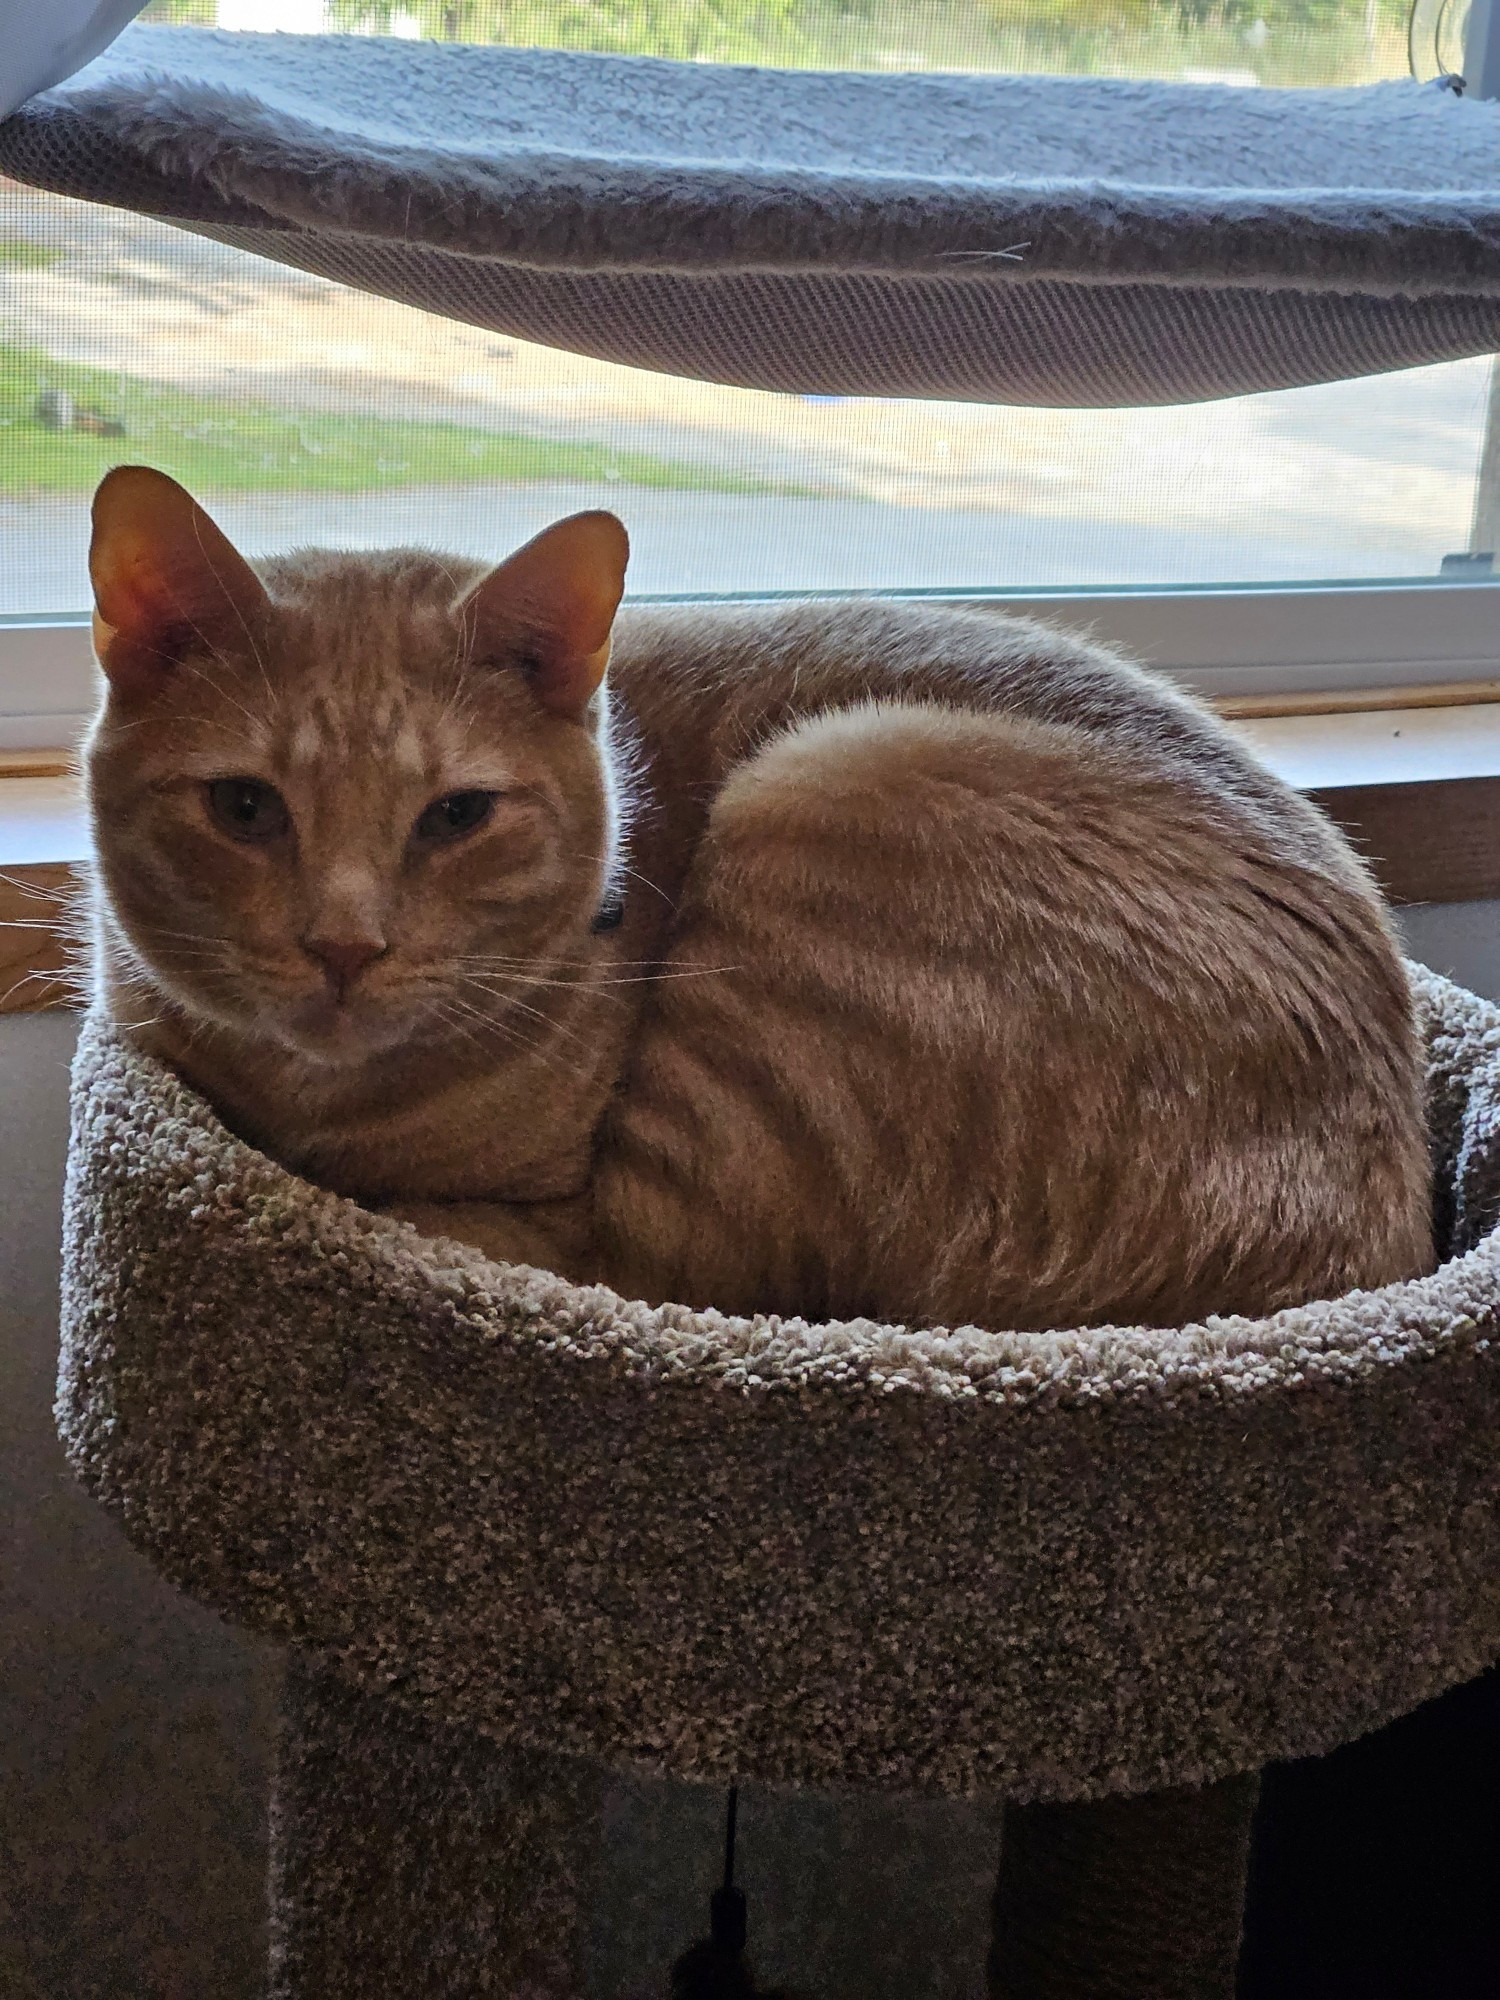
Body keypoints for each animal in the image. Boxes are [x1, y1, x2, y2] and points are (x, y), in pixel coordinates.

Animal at [79, 472, 1432, 1328]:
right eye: (245, 808)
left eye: (455, 816)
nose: (343, 947)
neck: (315, 1106)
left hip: (826, 791)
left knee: (644, 1269)